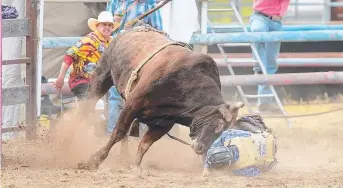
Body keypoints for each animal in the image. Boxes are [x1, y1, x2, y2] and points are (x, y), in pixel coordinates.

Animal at [77, 24, 246, 170]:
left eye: (222, 131)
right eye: (218, 124)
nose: (201, 148)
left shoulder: (163, 124)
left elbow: (144, 144)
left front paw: (135, 165)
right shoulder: (133, 103)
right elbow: (118, 132)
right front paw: (94, 160)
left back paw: (125, 156)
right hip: (102, 75)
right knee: (87, 107)